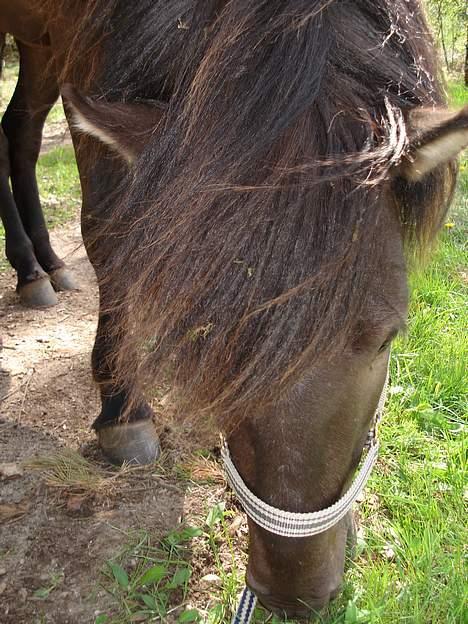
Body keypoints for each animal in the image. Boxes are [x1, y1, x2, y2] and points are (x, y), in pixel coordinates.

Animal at [0, 0, 468, 620]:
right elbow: (112, 229)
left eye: (389, 337)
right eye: (202, 337)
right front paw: (123, 411)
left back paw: (45, 266)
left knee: (19, 129)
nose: (293, 593)